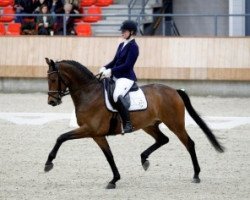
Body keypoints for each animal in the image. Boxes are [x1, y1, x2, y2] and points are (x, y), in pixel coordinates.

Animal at [45, 57, 225, 189]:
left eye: (53, 78)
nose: (52, 102)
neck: (89, 93)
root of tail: (174, 90)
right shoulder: (97, 134)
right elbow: (109, 156)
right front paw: (114, 179)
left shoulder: (90, 129)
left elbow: (61, 137)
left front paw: (48, 163)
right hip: (149, 125)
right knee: (163, 139)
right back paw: (144, 159)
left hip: (175, 124)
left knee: (189, 143)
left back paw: (196, 175)